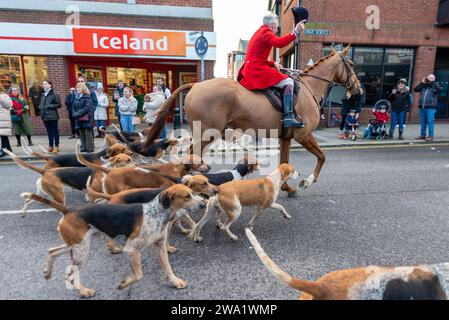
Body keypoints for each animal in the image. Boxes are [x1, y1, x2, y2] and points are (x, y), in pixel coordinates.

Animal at [146, 45, 360, 195]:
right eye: (350, 64)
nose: (357, 88)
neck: (309, 88)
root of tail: (196, 86)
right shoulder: (304, 135)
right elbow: (322, 157)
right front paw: (306, 182)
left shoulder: (286, 138)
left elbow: (284, 162)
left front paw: (287, 189)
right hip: (207, 134)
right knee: (193, 156)